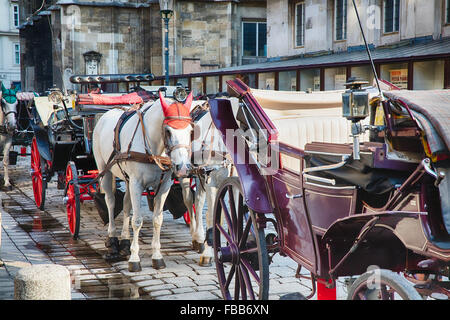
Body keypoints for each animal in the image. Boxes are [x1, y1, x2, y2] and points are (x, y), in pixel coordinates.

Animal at [93, 91, 193, 272]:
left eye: (190, 131)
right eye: (168, 131)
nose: (183, 167)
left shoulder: (164, 186)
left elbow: (157, 220)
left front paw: (157, 256)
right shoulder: (137, 184)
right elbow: (137, 220)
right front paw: (134, 259)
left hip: (127, 179)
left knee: (126, 204)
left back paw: (125, 241)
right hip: (105, 170)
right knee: (110, 202)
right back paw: (112, 240)